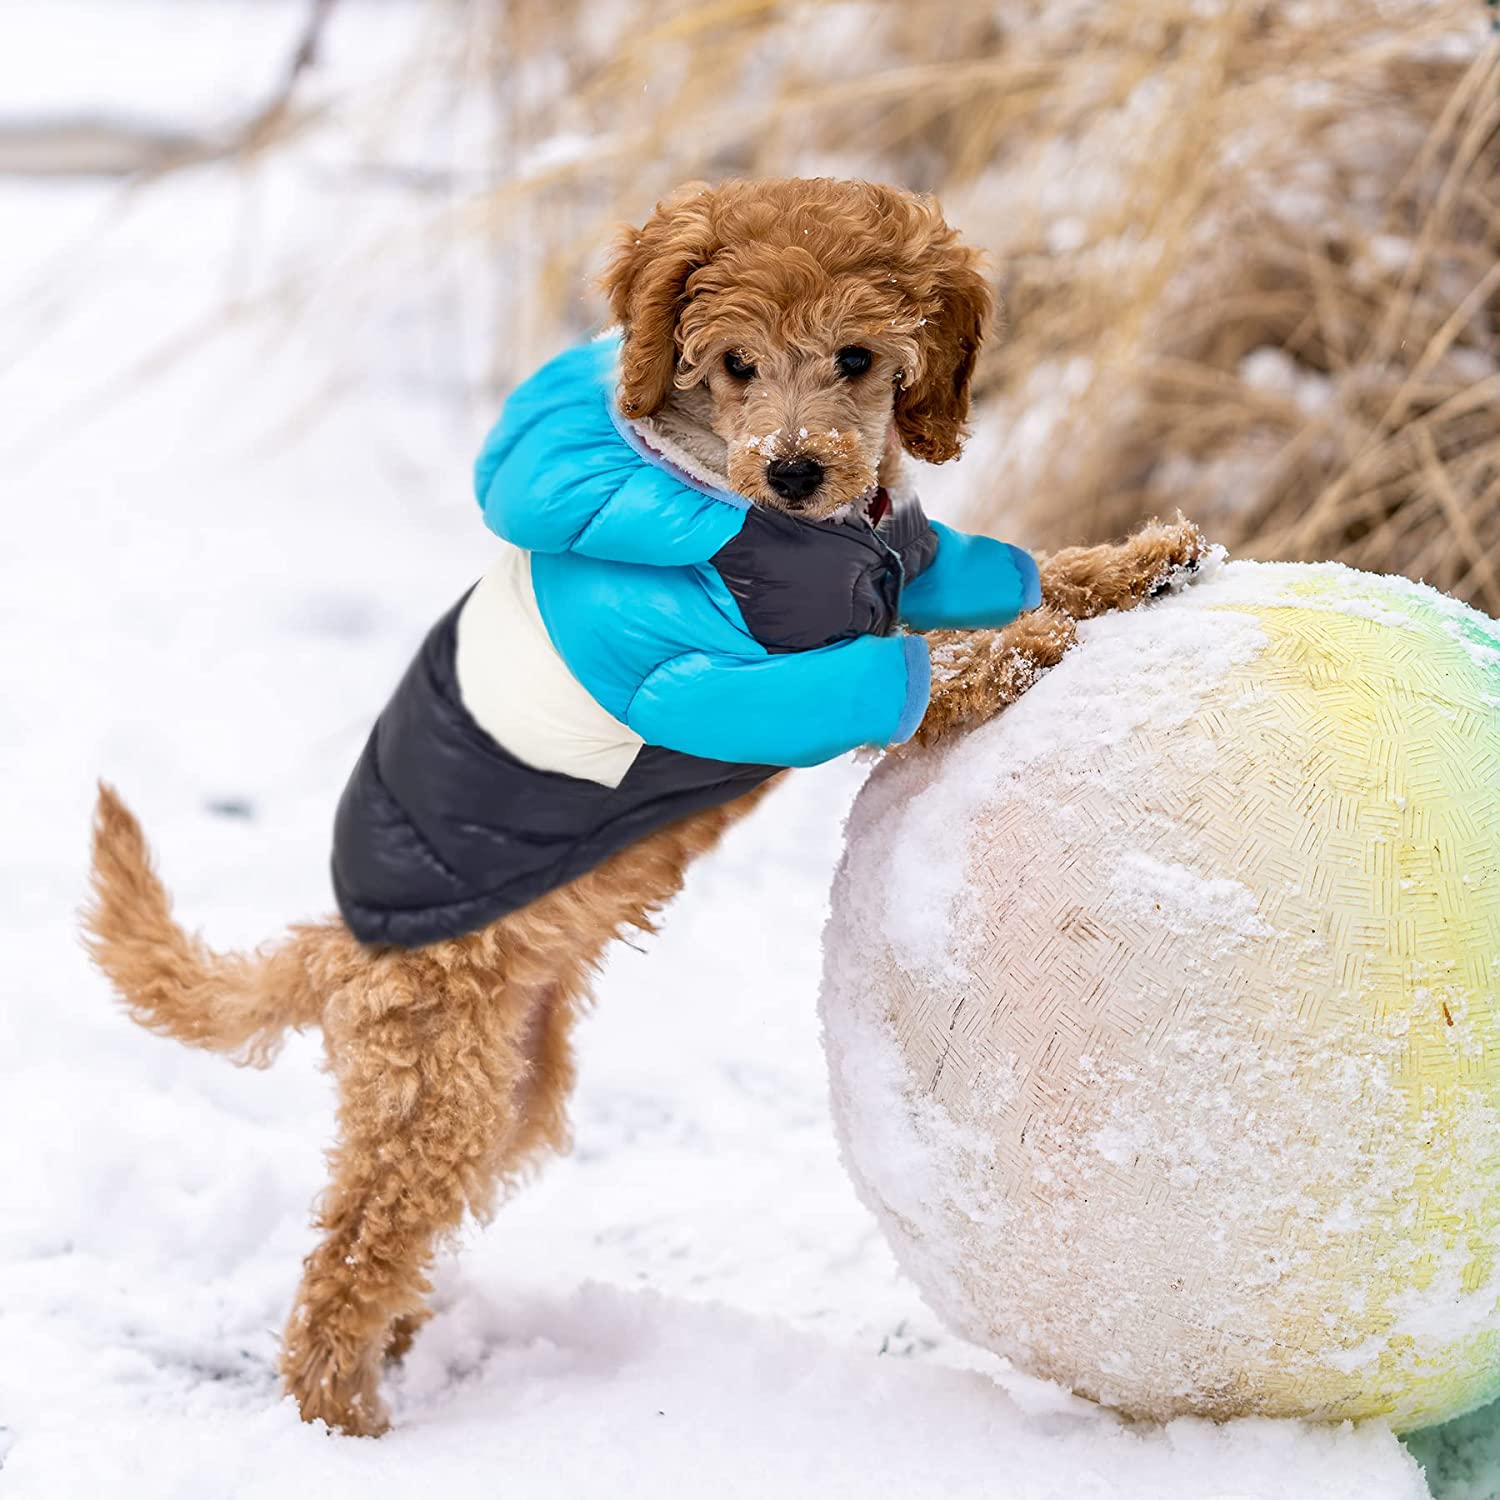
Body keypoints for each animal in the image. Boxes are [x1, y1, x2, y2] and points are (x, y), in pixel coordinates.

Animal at [79, 178, 1206, 1440]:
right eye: (735, 364)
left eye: (858, 358)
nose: (795, 472)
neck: (778, 515)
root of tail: (335, 953)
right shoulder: (744, 681)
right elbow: (927, 667)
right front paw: (1038, 639)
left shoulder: (900, 563)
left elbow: (1006, 571)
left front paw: (1137, 562)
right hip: (437, 1087)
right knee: (351, 1254)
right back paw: (347, 1416)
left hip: (504, 1091)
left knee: (395, 1234)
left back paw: (401, 1343)